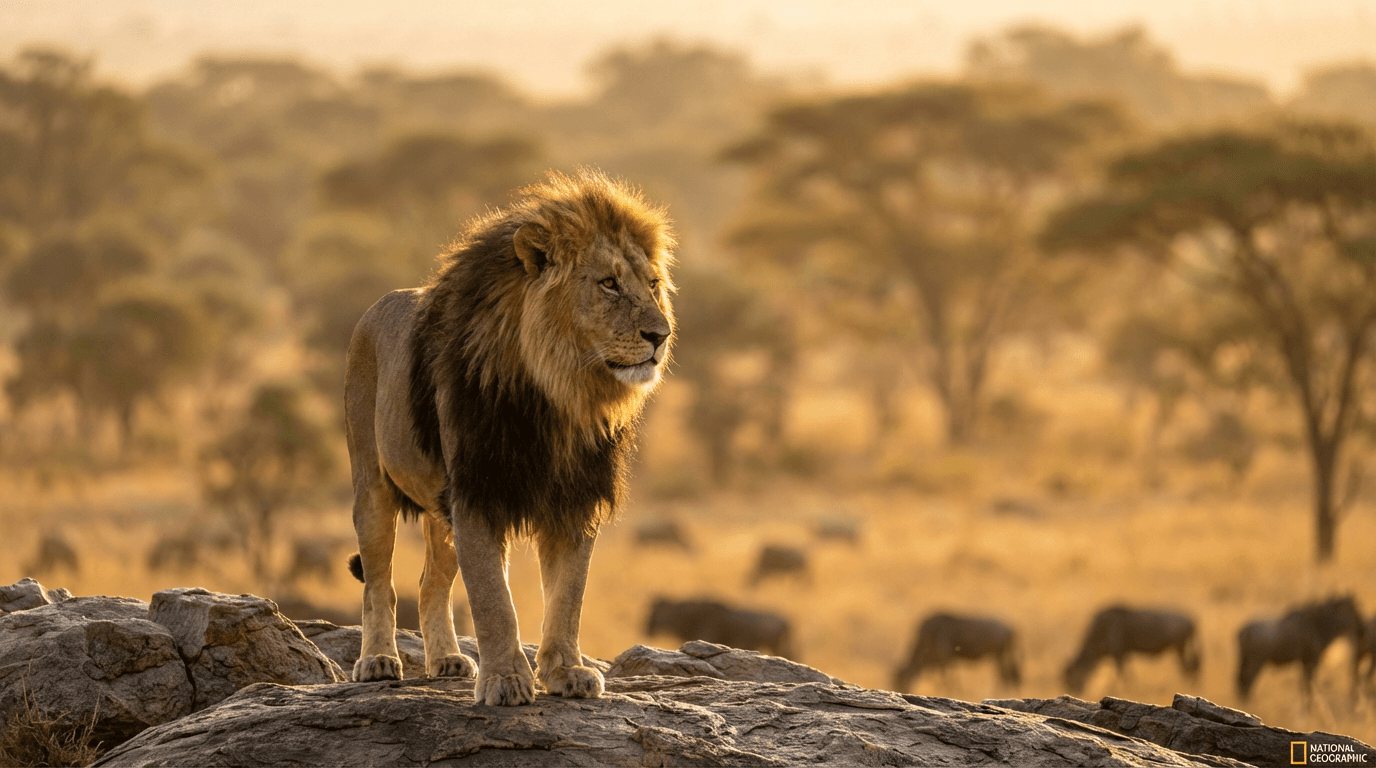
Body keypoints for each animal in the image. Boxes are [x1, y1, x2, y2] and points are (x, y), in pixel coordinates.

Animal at [343, 169, 675, 706]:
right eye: (608, 284)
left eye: (653, 285)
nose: (660, 336)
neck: (559, 394)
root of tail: (376, 306)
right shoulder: (477, 492)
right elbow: (493, 600)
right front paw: (504, 680)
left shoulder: (574, 499)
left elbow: (568, 596)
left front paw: (567, 671)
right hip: (371, 486)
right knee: (380, 583)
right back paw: (376, 661)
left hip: (441, 513)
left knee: (430, 582)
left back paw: (448, 660)